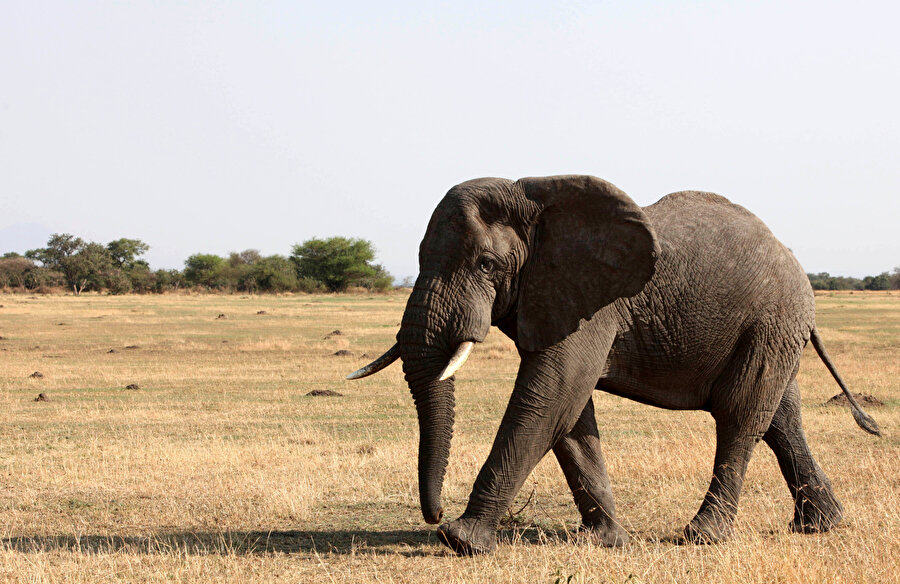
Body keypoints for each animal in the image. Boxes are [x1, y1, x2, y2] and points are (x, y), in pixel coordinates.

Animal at [346, 175, 880, 556]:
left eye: (486, 265)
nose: (434, 516)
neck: (534, 198)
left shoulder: (595, 302)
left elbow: (551, 394)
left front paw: (462, 541)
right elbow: (569, 411)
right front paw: (604, 542)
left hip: (771, 320)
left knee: (740, 414)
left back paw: (701, 537)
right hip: (772, 329)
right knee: (780, 418)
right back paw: (820, 526)